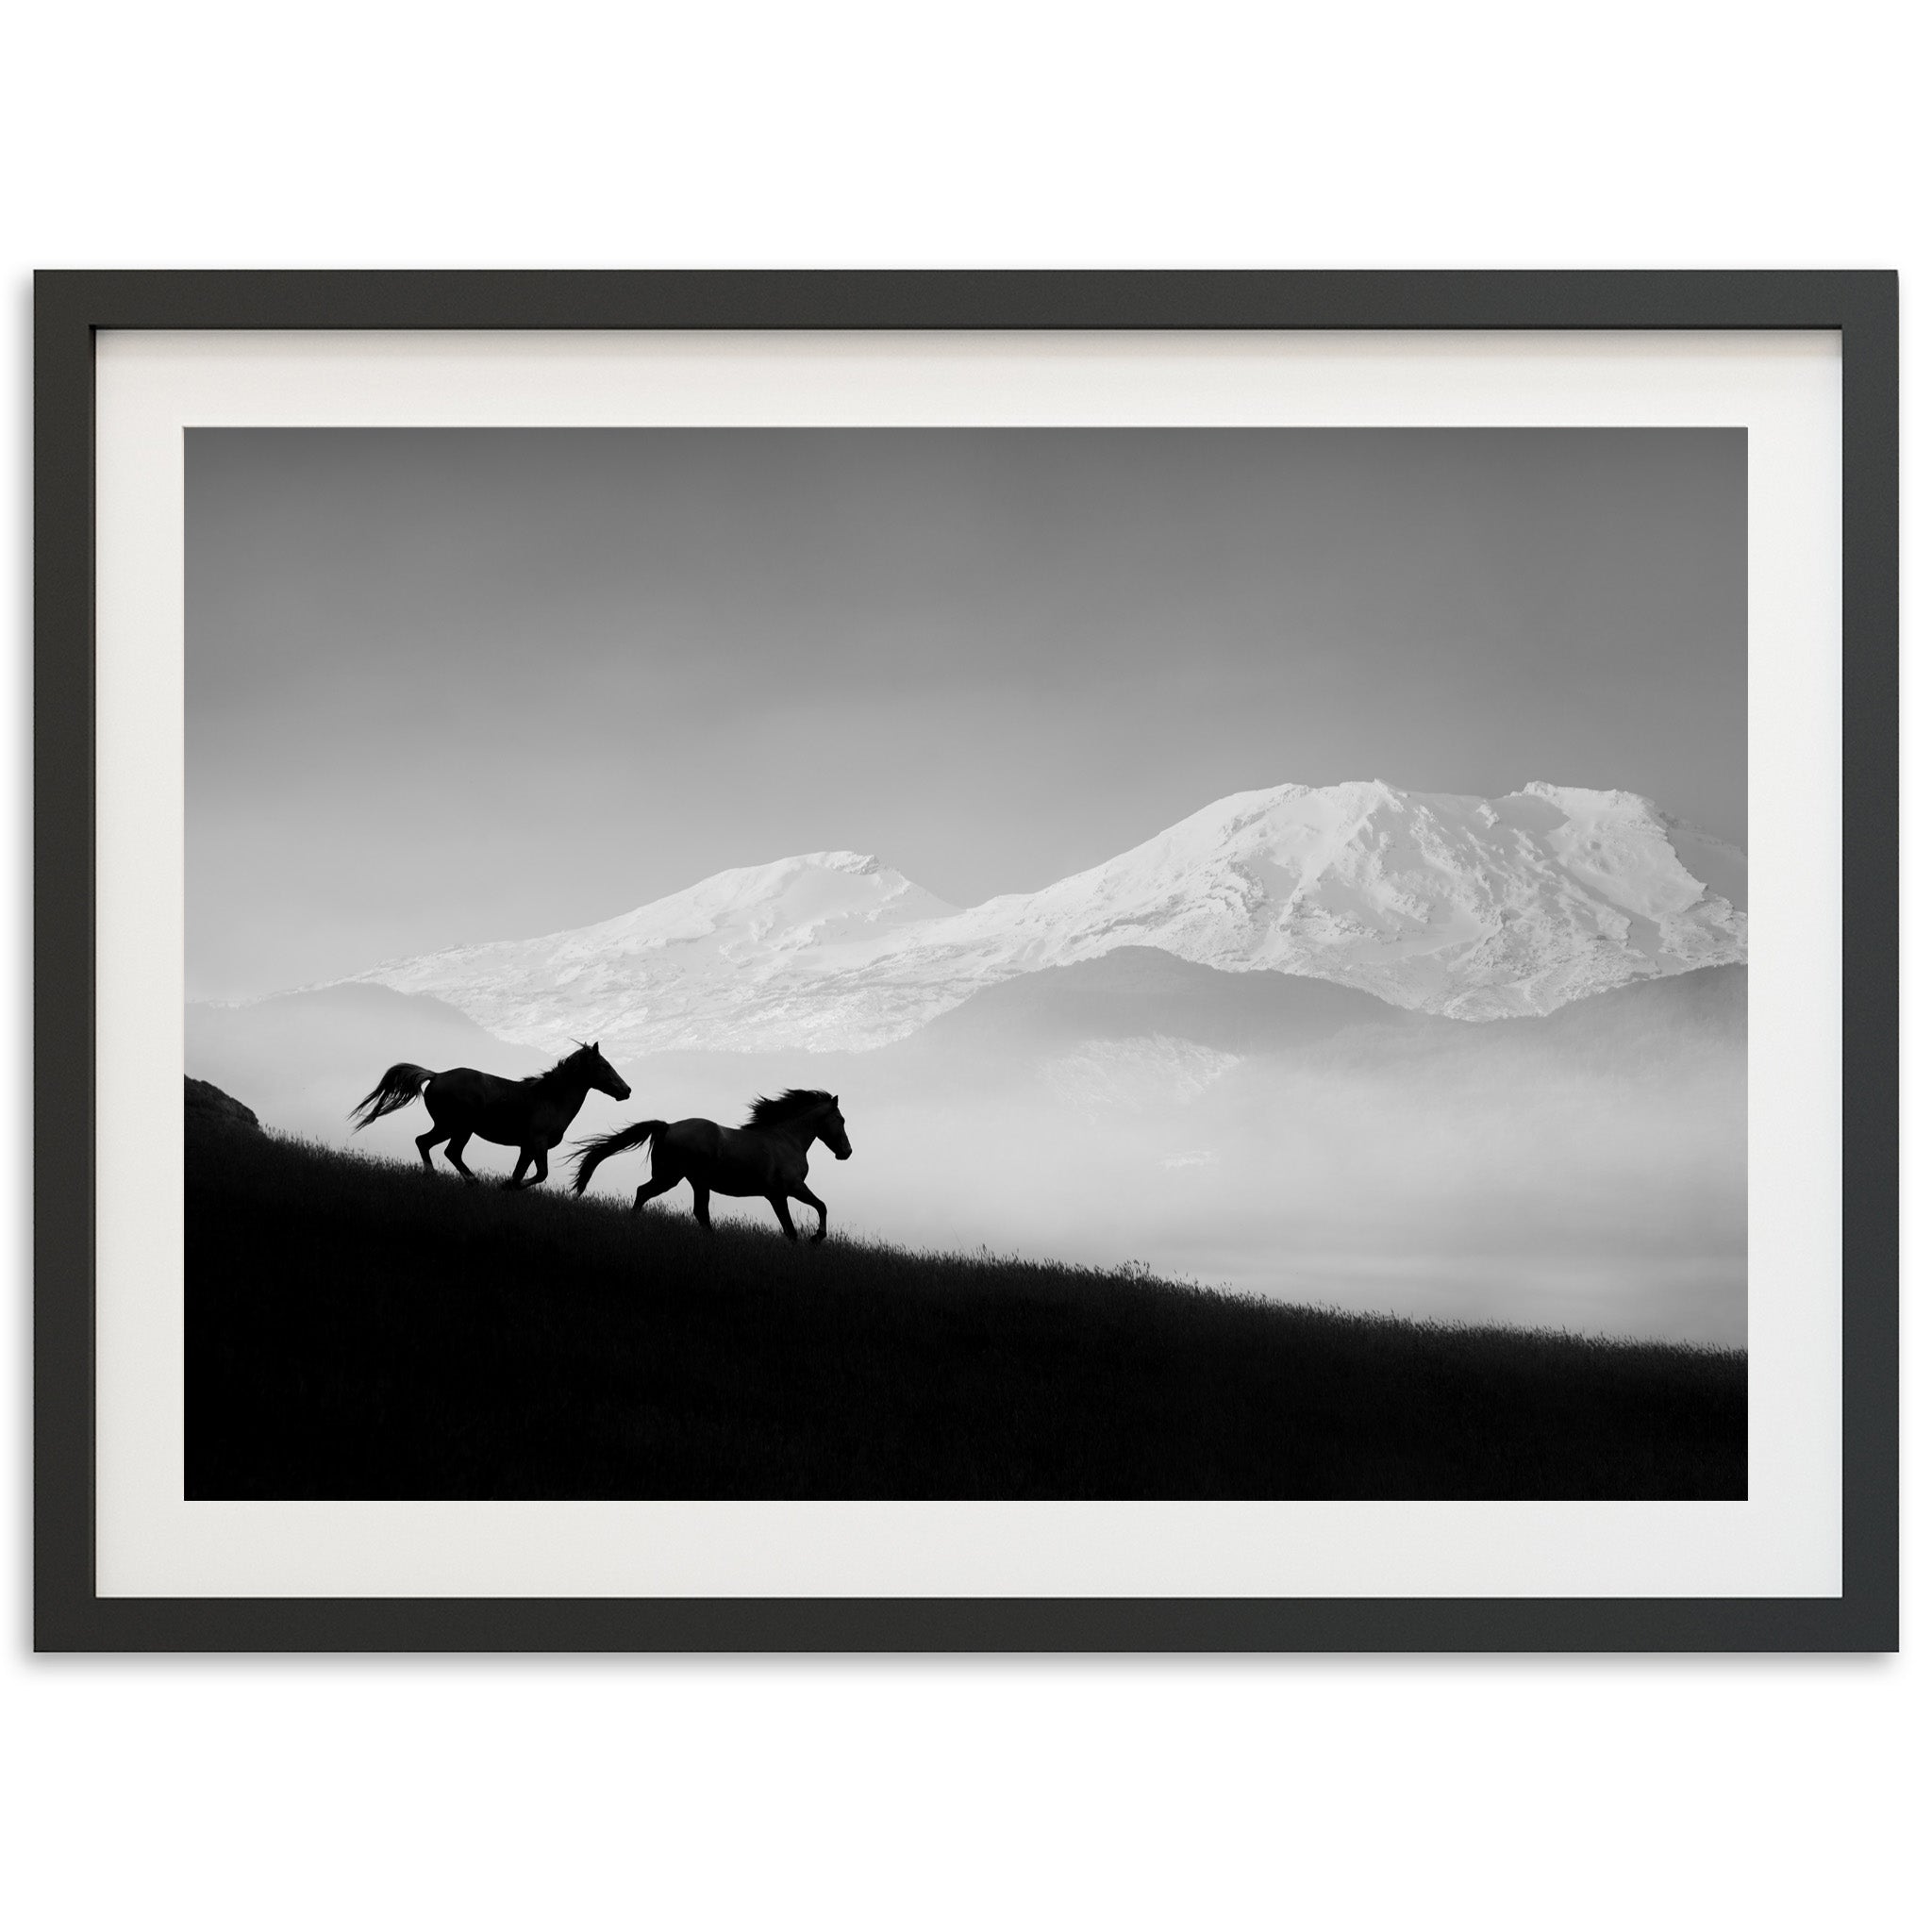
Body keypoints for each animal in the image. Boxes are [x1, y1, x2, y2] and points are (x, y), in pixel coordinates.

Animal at [347, 1042, 633, 1190]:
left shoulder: (526, 1148)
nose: (626, 1090)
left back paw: (435, 1176)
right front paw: (505, 1186)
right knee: (447, 1151)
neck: (550, 1099)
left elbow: (521, 1173)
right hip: (458, 1128)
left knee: (425, 1143)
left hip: (448, 1127)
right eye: (604, 1065)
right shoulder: (537, 1144)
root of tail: (436, 1076)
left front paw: (509, 1188)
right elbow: (540, 1174)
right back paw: (469, 1180)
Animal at [564, 1090, 854, 1236]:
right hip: (684, 1179)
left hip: (679, 1178)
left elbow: (800, 1221)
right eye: (841, 1120)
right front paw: (816, 1238)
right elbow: (813, 1213)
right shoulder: (787, 1190)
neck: (785, 1140)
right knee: (687, 1207)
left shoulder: (779, 1194)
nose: (847, 1152)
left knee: (650, 1194)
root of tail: (668, 1126)